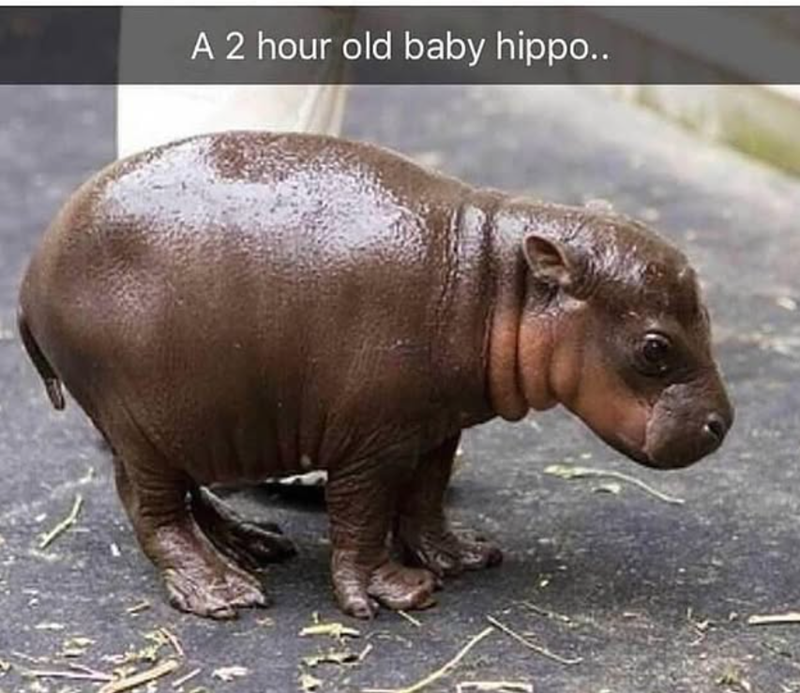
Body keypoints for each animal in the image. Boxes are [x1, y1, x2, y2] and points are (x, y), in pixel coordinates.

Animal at [18, 132, 733, 619]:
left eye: (707, 314)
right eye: (654, 347)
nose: (722, 423)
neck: (494, 278)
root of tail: (30, 277)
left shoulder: (436, 425)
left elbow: (425, 496)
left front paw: (464, 556)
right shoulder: (370, 440)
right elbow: (361, 515)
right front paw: (392, 593)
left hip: (189, 417)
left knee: (188, 494)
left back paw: (255, 544)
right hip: (140, 419)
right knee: (153, 509)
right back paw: (225, 592)